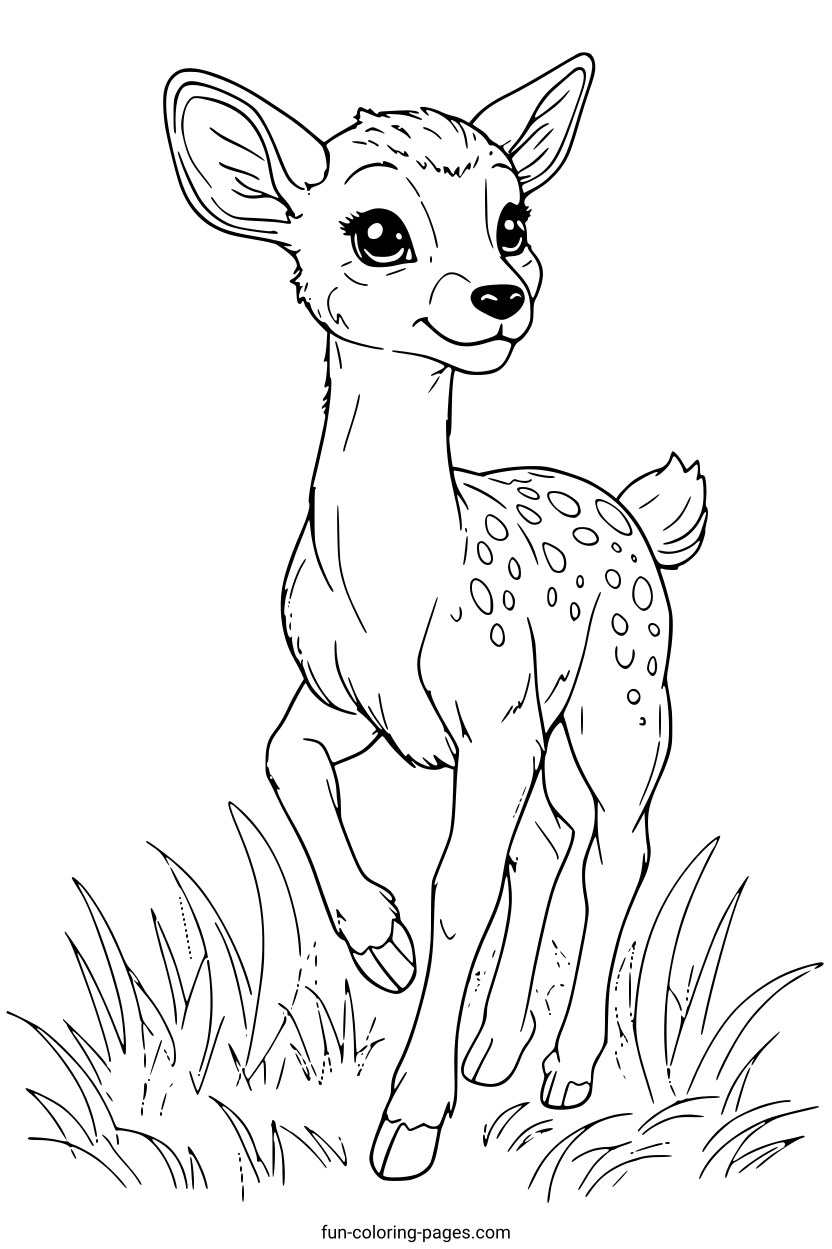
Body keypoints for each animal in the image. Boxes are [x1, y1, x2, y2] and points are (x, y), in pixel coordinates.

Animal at [163, 54, 707, 1181]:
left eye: (513, 218)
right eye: (378, 231)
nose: (502, 295)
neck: (397, 586)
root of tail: (636, 511)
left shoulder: (491, 722)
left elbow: (457, 892)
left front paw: (410, 1122)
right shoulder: (355, 707)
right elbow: (284, 758)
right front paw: (377, 943)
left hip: (622, 704)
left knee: (616, 848)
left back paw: (567, 1069)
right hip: (548, 732)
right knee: (548, 840)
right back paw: (499, 1049)